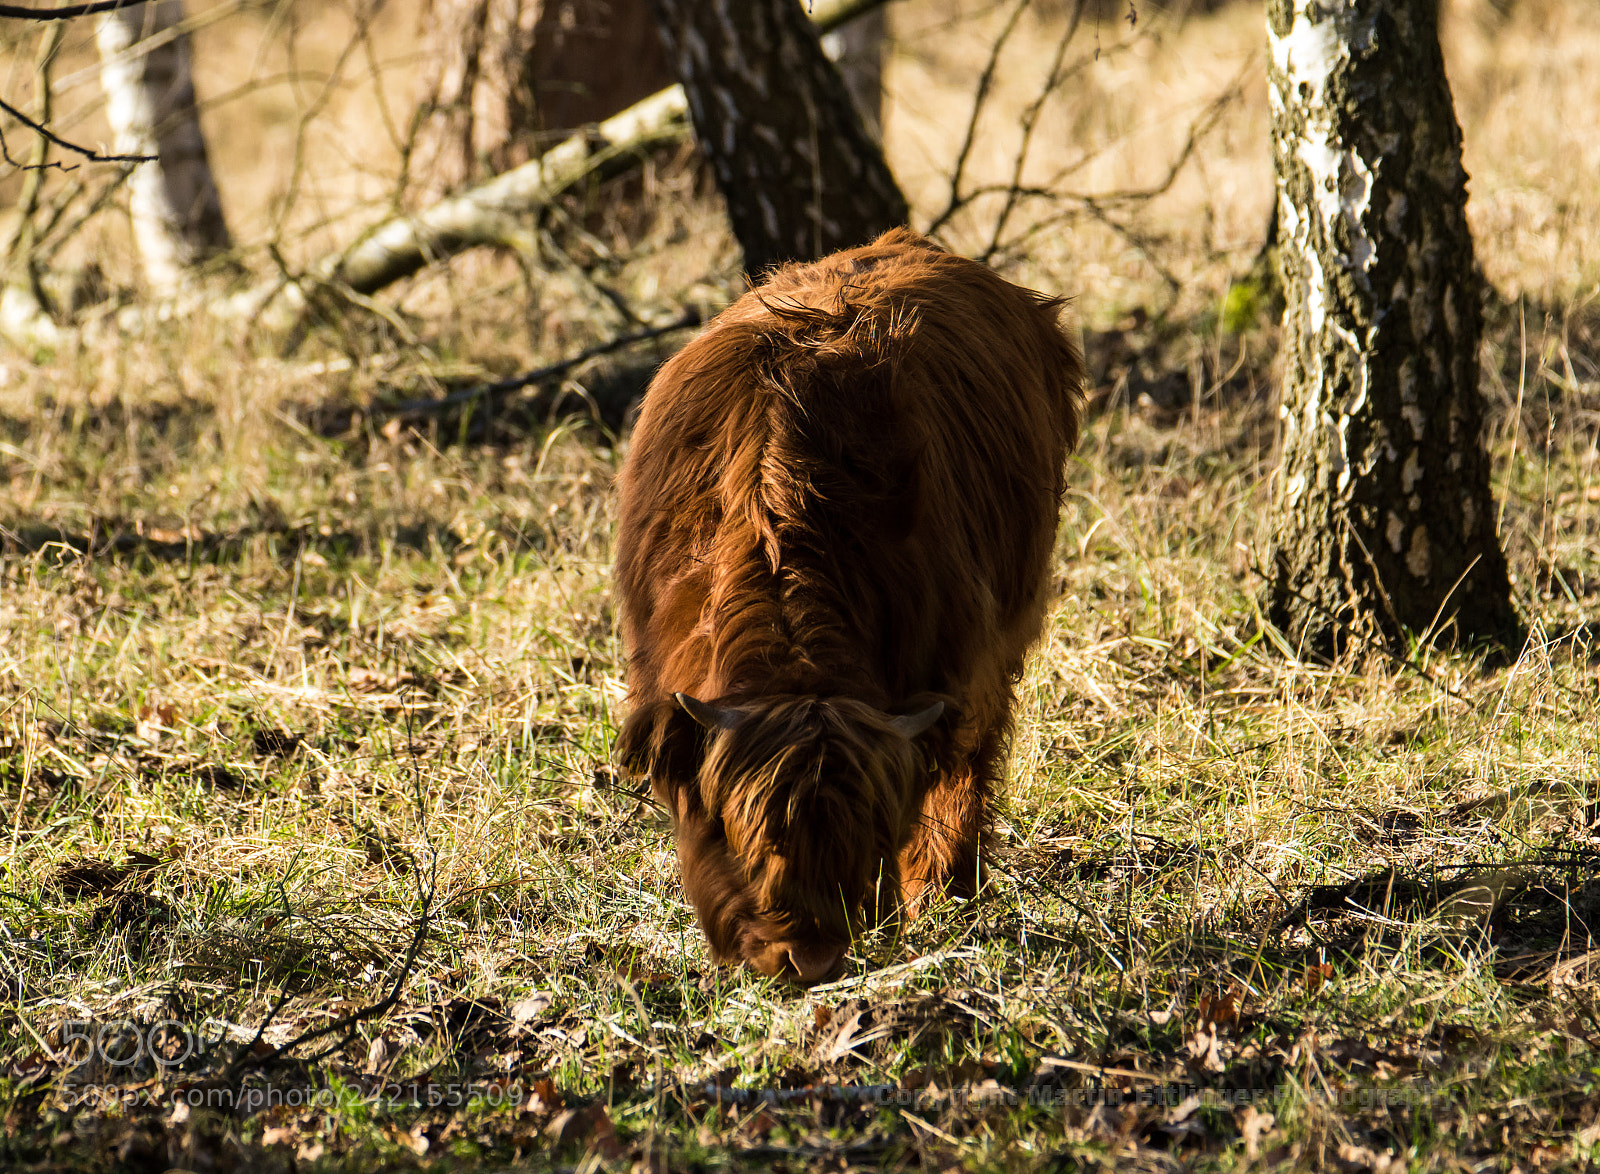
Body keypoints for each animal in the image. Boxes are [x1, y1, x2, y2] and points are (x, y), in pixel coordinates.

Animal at [613, 228, 1085, 984]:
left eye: (860, 840)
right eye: (756, 842)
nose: (809, 959)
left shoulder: (953, 668)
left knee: (976, 760)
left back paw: (953, 886)